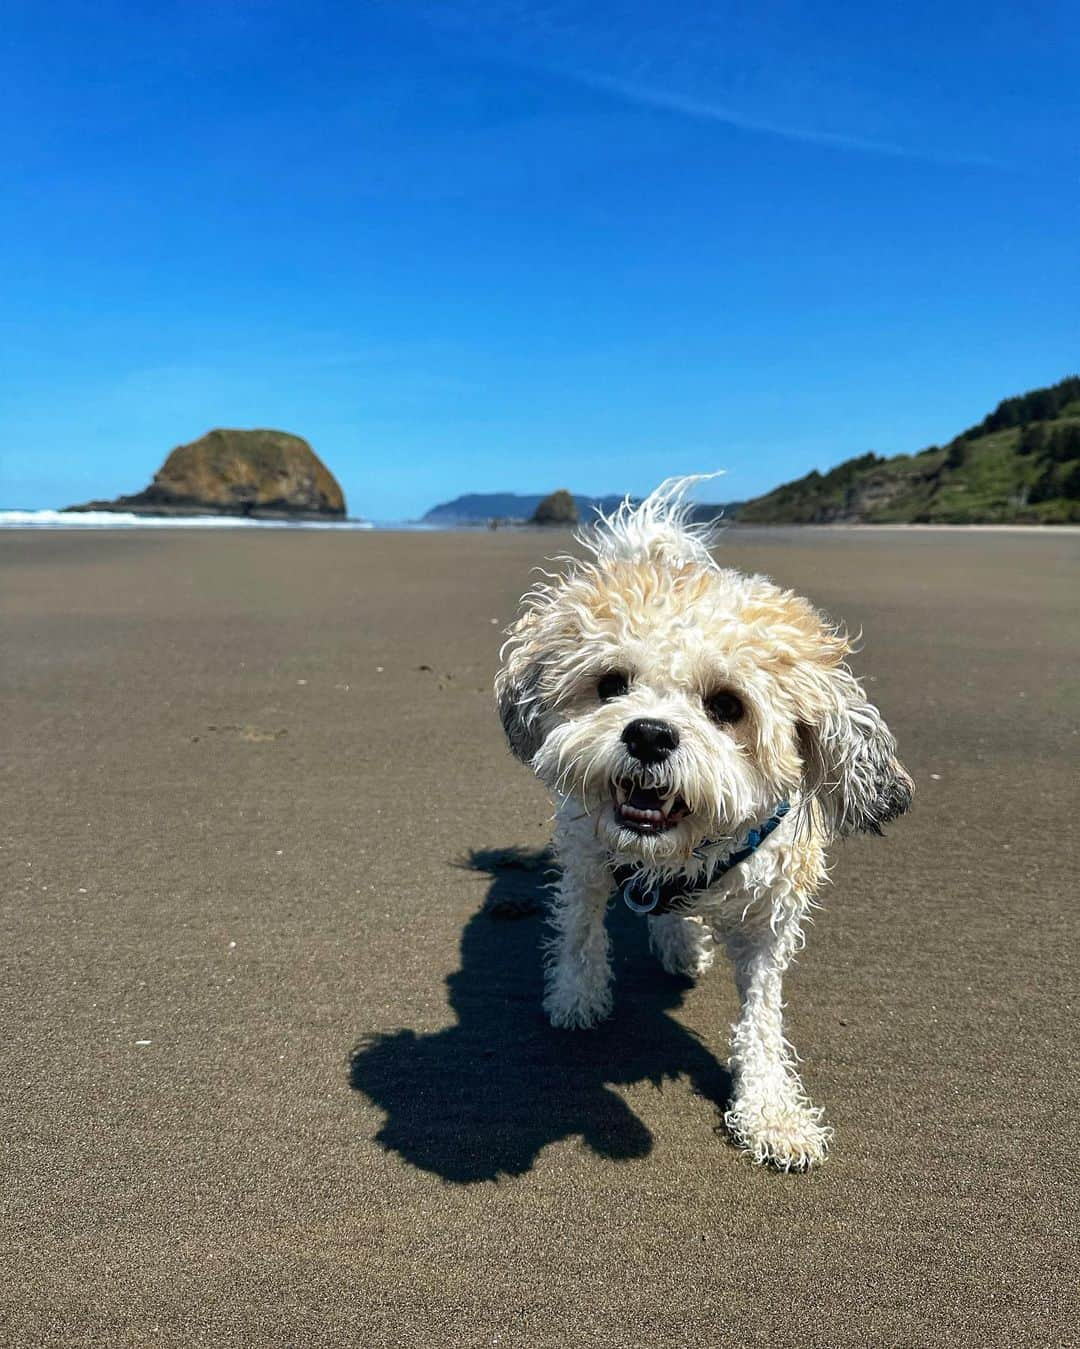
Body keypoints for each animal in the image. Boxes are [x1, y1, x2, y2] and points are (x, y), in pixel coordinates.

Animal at [496, 482, 911, 1170]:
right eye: (612, 684)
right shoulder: (586, 854)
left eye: (726, 705)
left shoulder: (771, 917)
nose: (648, 734)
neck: (686, 852)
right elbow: (581, 931)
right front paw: (577, 998)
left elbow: (762, 1018)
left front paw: (770, 1111)